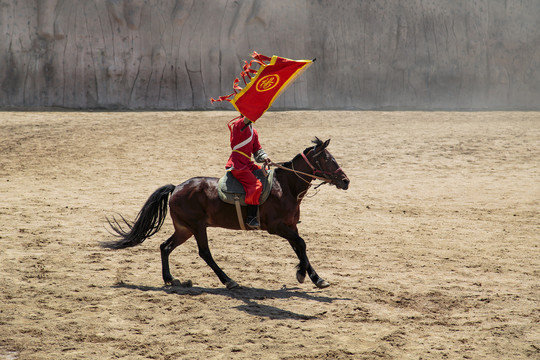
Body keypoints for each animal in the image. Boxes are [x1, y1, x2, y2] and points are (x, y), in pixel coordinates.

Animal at [105, 137, 350, 290]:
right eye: (328, 159)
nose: (346, 181)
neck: (285, 187)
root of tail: (177, 187)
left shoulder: (290, 227)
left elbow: (299, 247)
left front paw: (310, 275)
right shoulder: (277, 228)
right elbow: (302, 244)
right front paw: (308, 275)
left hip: (184, 229)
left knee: (165, 247)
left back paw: (171, 279)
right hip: (197, 227)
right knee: (204, 253)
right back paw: (228, 281)